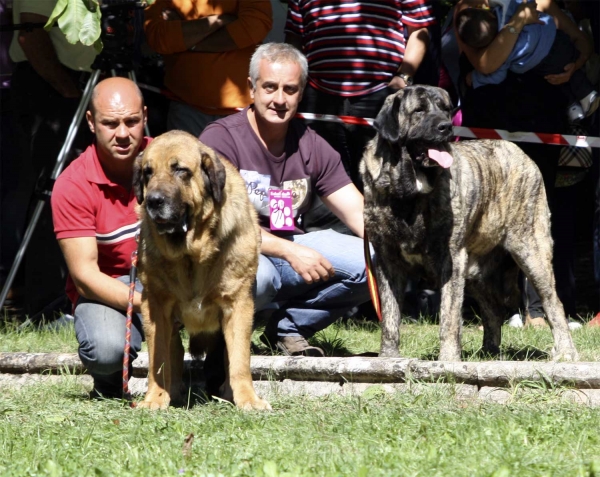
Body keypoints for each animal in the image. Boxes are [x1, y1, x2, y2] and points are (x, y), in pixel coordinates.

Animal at [134, 130, 270, 410]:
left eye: (180, 170)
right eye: (147, 172)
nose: (153, 201)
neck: (191, 253)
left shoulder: (238, 303)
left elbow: (240, 360)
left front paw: (248, 400)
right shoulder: (155, 305)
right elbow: (158, 359)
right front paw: (155, 398)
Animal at [358, 85, 580, 360]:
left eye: (445, 109)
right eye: (419, 110)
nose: (445, 127)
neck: (408, 192)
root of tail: (520, 152)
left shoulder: (450, 259)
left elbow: (449, 318)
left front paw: (448, 360)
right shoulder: (388, 261)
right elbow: (390, 317)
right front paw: (388, 358)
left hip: (531, 252)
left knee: (553, 304)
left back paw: (566, 352)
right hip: (476, 271)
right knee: (493, 309)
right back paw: (489, 352)